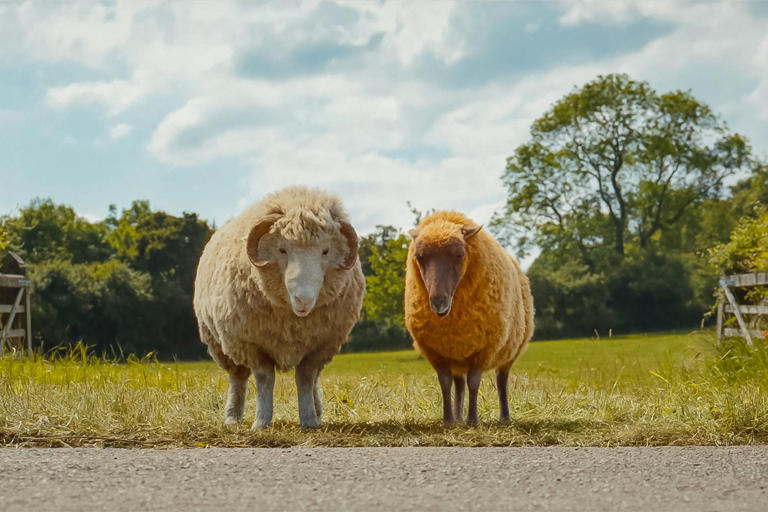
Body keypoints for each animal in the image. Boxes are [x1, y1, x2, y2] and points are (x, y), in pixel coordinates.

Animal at [193, 186, 365, 429]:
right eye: (282, 250)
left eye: (325, 251)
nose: (303, 299)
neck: (293, 321)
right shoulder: (252, 345)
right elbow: (265, 379)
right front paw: (261, 422)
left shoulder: (320, 346)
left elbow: (305, 378)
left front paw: (309, 420)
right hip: (222, 345)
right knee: (237, 378)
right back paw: (232, 417)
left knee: (314, 380)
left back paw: (317, 411)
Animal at [404, 210, 534, 426]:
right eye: (419, 257)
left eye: (459, 255)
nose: (438, 301)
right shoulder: (436, 352)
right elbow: (445, 383)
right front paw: (448, 420)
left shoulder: (484, 349)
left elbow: (474, 383)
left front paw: (473, 420)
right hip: (458, 353)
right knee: (459, 384)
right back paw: (458, 417)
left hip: (509, 351)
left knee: (501, 380)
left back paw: (504, 417)